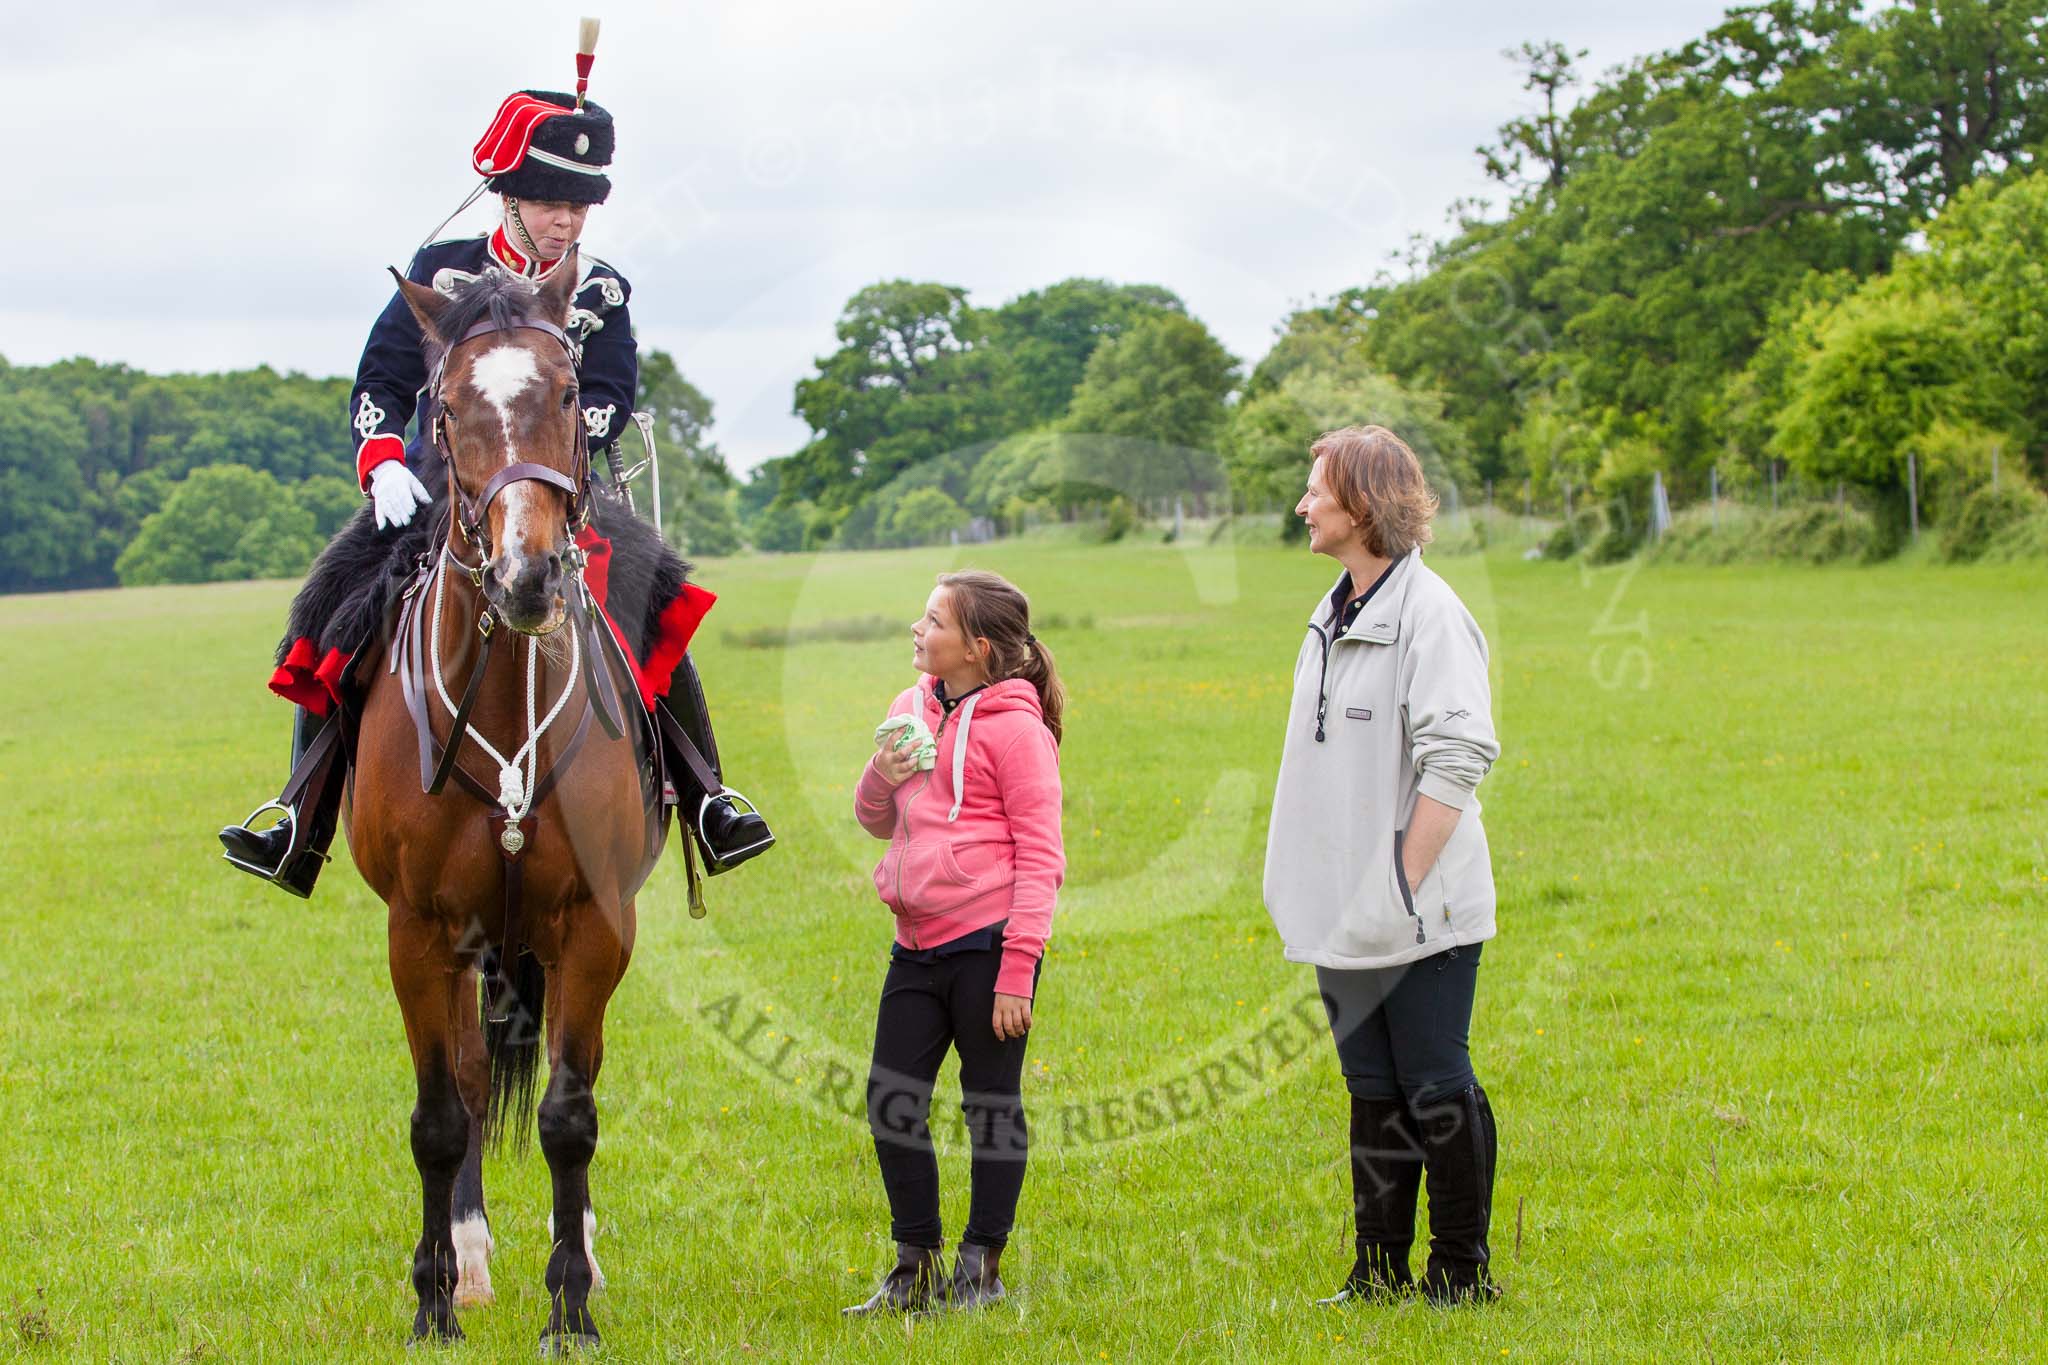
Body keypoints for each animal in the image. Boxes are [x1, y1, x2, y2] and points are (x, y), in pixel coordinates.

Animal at [346, 250, 663, 1350]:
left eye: (568, 391)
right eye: (444, 409)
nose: (529, 575)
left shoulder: (594, 926)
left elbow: (571, 1114)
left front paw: (570, 1305)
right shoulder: (418, 931)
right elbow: (443, 1116)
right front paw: (435, 1301)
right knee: (477, 1085)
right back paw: (474, 1258)